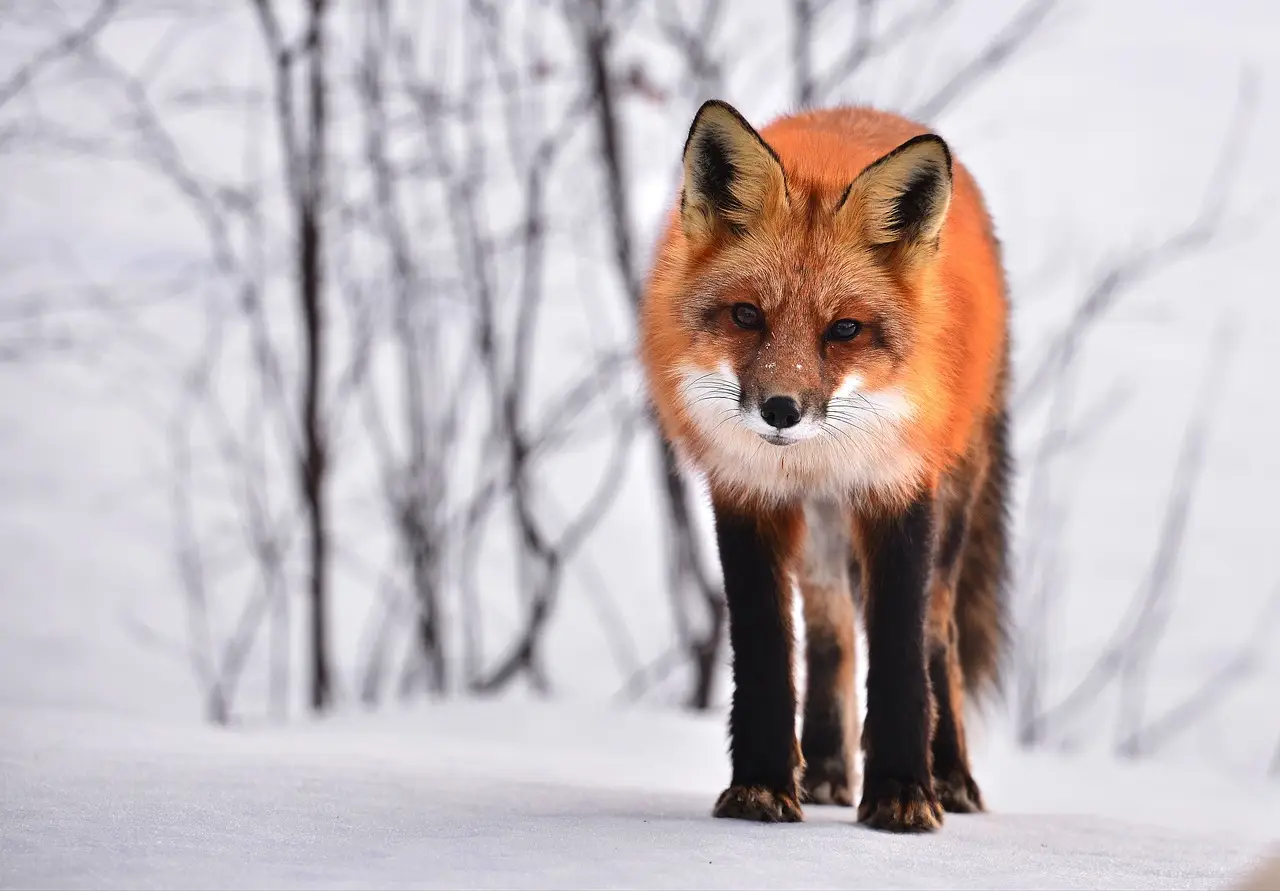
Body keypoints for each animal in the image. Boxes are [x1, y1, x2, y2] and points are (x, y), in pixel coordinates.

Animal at [640, 101, 1008, 829]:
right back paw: (829, 768)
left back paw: (950, 775)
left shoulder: (898, 490)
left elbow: (899, 652)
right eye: (747, 315)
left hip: (950, 504)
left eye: (844, 329)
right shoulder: (747, 493)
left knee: (938, 635)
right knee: (830, 632)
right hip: (820, 536)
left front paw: (902, 791)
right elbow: (766, 650)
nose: (781, 410)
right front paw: (760, 785)